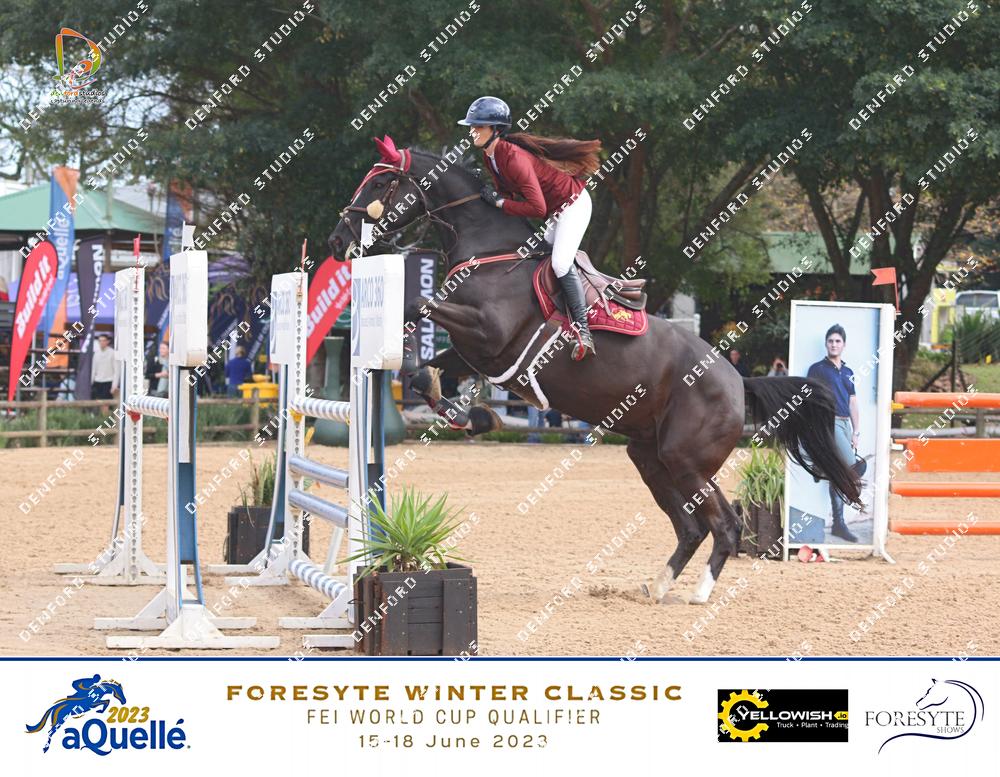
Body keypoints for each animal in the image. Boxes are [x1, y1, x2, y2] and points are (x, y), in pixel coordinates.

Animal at [328, 139, 861, 605]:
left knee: (725, 525)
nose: (337, 239)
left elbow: (416, 306)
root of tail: (737, 381)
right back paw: (658, 587)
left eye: (381, 183)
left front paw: (461, 408)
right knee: (690, 527)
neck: (489, 252)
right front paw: (465, 413)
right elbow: (429, 371)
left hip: (688, 460)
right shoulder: (478, 352)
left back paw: (699, 594)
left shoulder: (486, 332)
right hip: (650, 457)